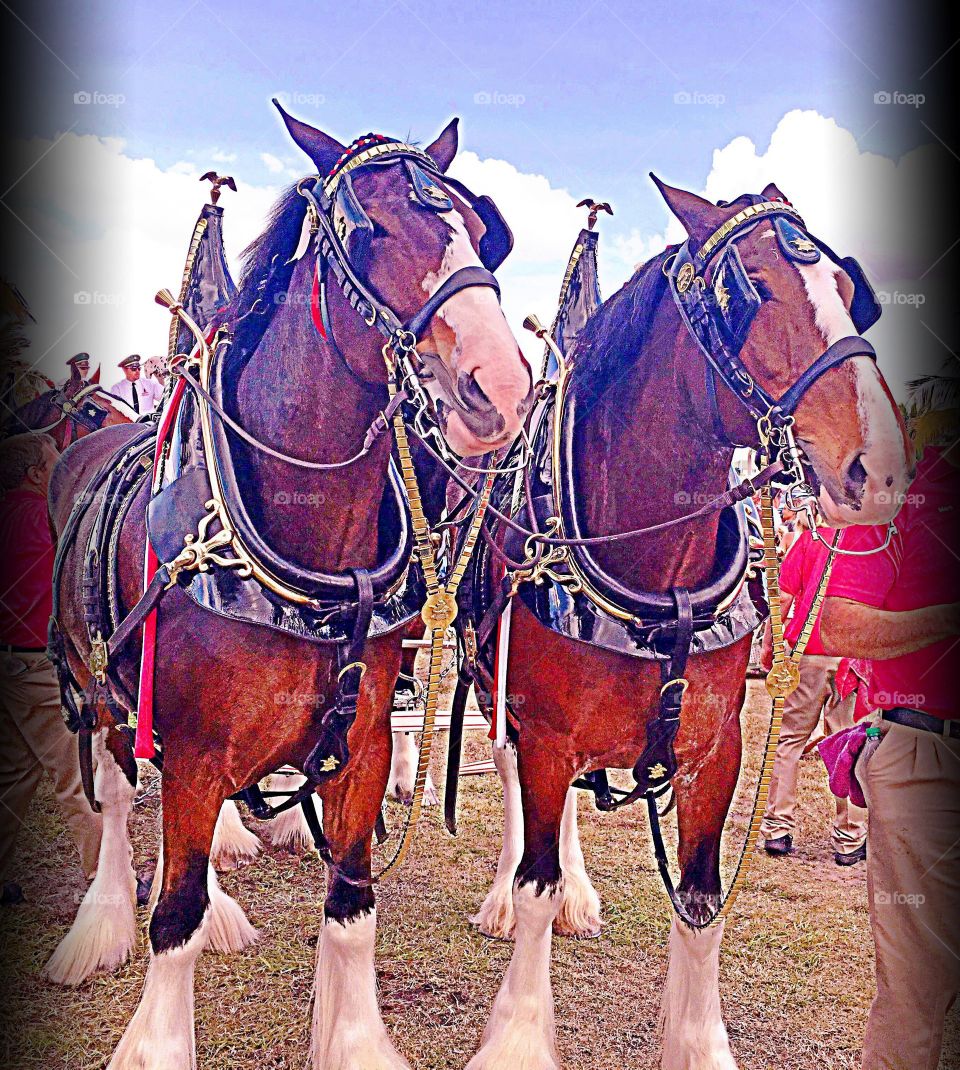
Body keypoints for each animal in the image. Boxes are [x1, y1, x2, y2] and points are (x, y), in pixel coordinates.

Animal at [45, 108, 532, 1069]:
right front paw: (157, 1038)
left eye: (480, 229)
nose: (500, 387)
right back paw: (106, 920)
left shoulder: (362, 742)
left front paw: (351, 1036)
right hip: (104, 689)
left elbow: (351, 904)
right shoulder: (195, 747)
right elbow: (175, 914)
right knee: (119, 798)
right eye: (367, 228)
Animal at [455, 179, 912, 1069]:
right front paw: (518, 1032)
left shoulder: (715, 746)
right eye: (751, 290)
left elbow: (700, 904)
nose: (877, 470)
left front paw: (695, 1043)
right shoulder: (546, 731)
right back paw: (499, 896)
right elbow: (534, 883)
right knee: (513, 790)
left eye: (850, 292)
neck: (655, 576)